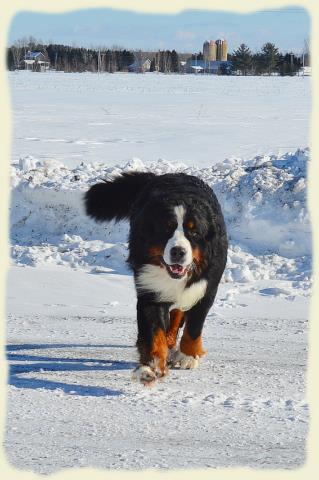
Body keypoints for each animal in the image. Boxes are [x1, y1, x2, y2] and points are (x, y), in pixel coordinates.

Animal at [85, 171, 228, 384]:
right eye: (166, 229)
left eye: (194, 232)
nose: (178, 251)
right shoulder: (150, 291)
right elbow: (154, 334)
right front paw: (150, 366)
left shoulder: (205, 289)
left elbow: (194, 328)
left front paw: (187, 356)